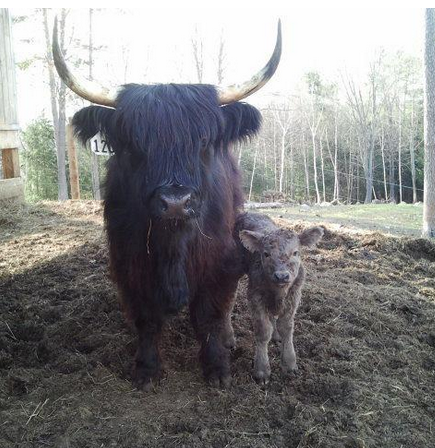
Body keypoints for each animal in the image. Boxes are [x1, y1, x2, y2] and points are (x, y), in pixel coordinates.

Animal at [235, 214, 324, 384]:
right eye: (266, 254)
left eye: (295, 252)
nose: (282, 276)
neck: (279, 292)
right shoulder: (255, 296)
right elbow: (263, 330)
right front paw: (262, 371)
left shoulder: (294, 296)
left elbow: (286, 328)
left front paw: (289, 364)